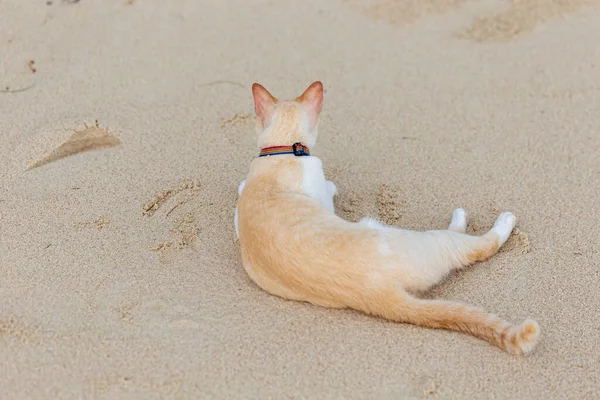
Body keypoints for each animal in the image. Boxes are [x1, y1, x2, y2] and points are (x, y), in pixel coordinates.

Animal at [233, 81, 540, 356]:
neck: (282, 150)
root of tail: (381, 295)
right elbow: (329, 189)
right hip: (430, 241)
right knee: (477, 246)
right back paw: (493, 220)